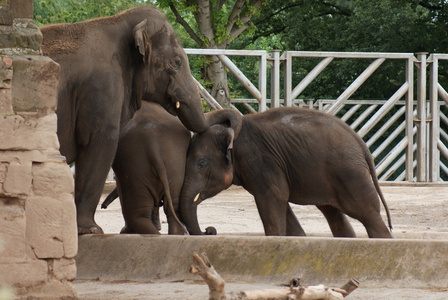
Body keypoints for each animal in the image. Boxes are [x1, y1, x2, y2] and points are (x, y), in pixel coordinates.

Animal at [40, 5, 229, 234]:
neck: (117, 21)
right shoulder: (102, 88)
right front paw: (91, 230)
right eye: (176, 62)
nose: (211, 230)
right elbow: (100, 144)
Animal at [180, 106, 394, 238]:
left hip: (350, 174)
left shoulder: (261, 161)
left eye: (201, 164)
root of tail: (361, 143)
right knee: (333, 214)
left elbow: (274, 197)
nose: (209, 230)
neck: (234, 133)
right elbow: (282, 204)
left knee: (368, 214)